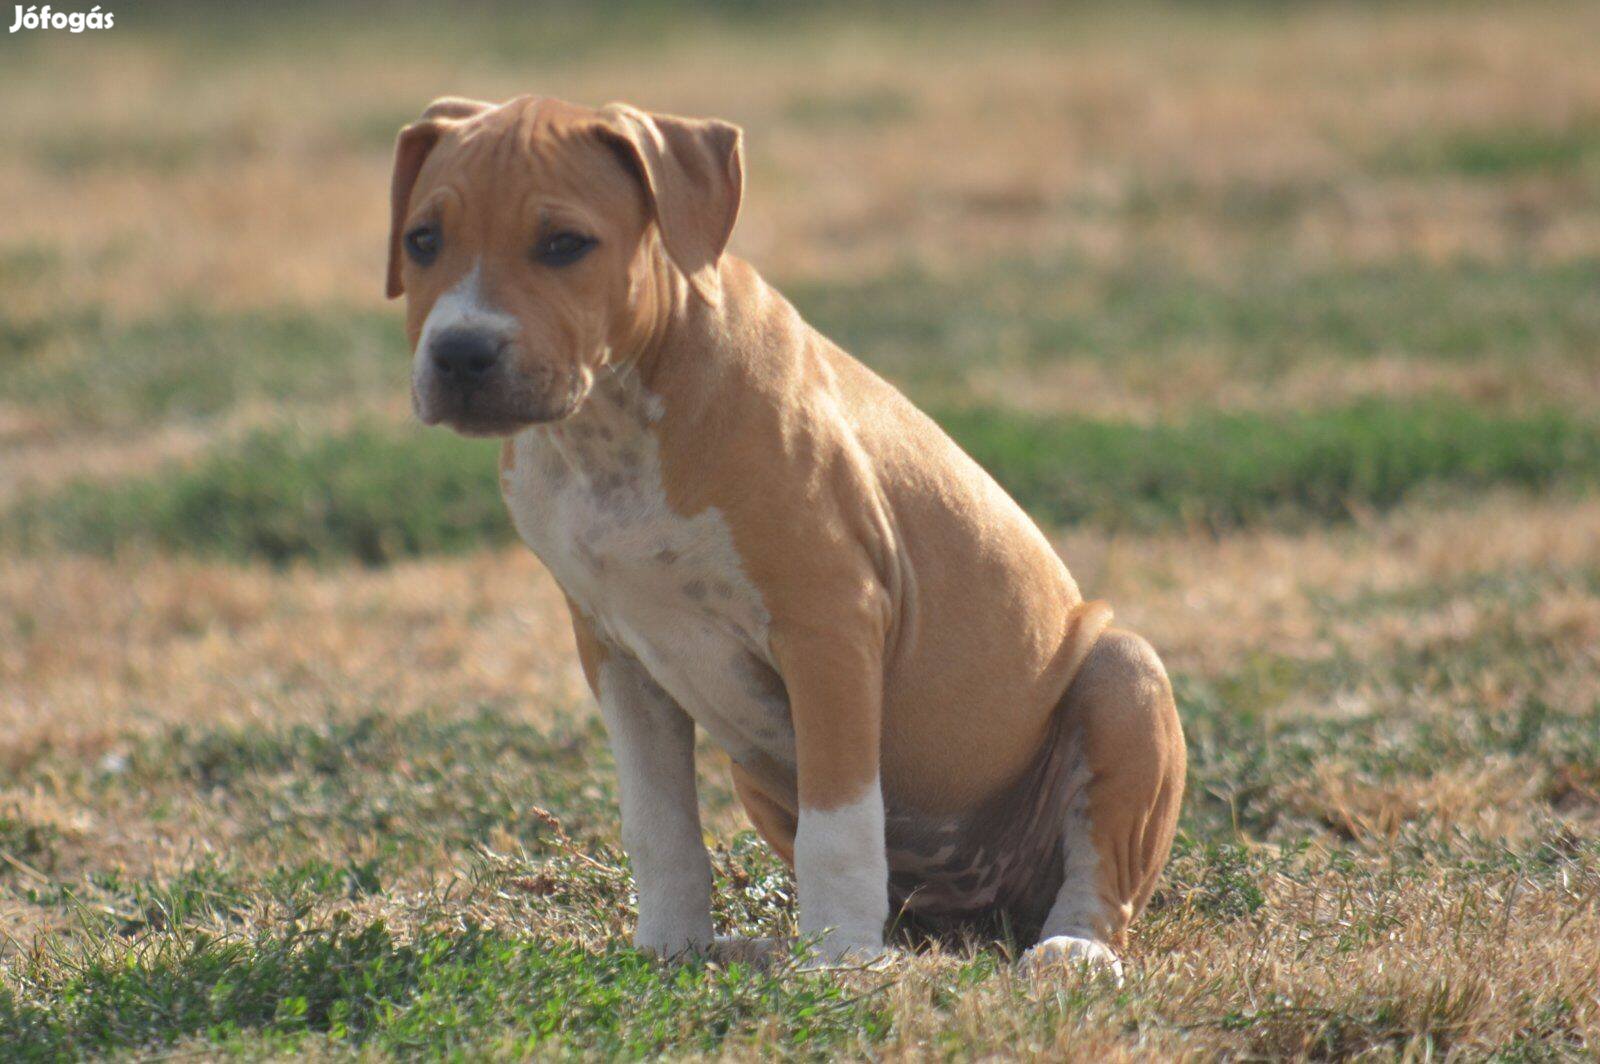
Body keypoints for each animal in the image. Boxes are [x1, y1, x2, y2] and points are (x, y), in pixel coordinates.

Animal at [387, 93, 1190, 972]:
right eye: (422, 241)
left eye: (565, 244)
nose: (461, 352)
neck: (613, 423)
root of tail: (983, 903)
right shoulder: (615, 653)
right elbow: (659, 826)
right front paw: (669, 950)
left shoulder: (829, 627)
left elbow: (839, 824)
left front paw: (840, 962)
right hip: (760, 778)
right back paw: (773, 946)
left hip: (1123, 675)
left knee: (1100, 869)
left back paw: (1068, 949)